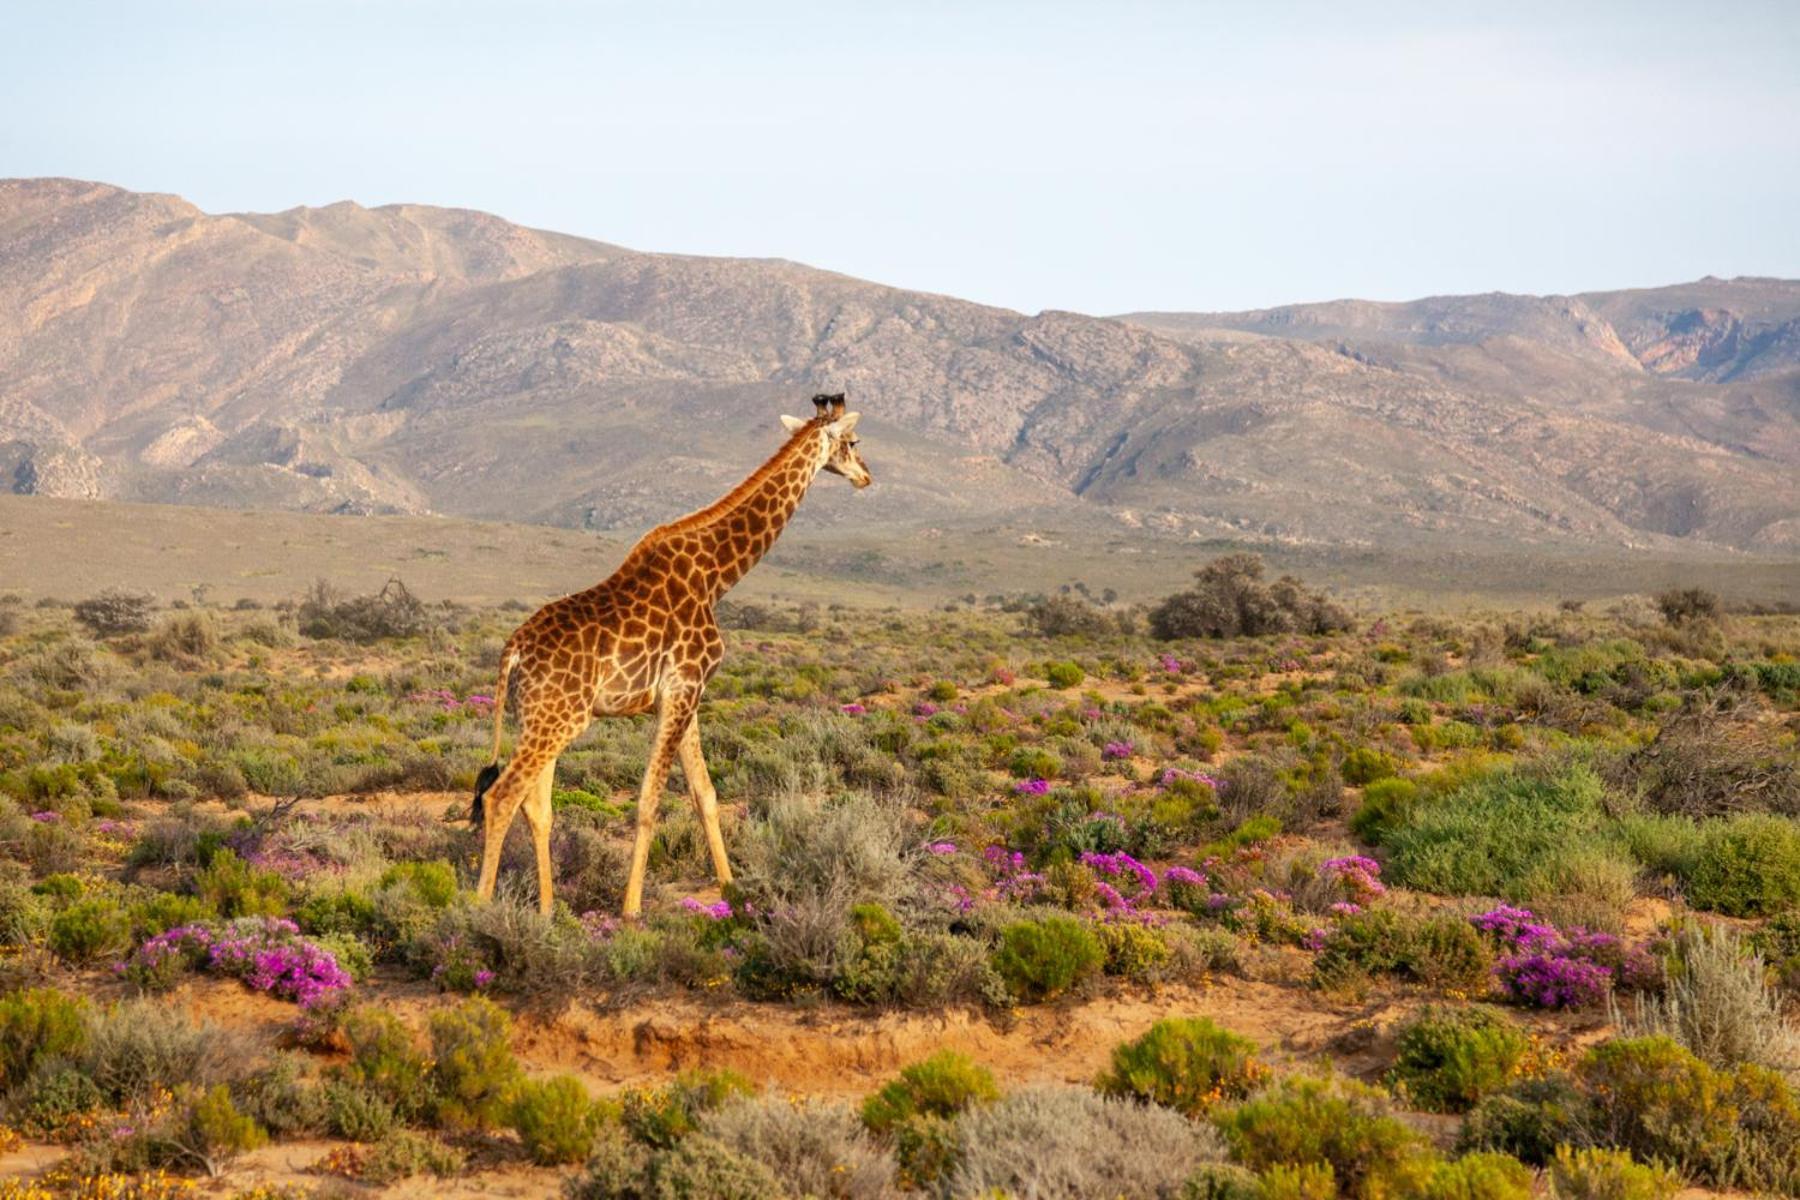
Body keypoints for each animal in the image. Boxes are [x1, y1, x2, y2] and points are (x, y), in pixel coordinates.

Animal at [471, 390, 871, 913]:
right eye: (853, 441)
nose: (866, 476)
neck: (718, 575)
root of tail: (513, 651)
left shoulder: (688, 695)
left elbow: (705, 793)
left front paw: (731, 890)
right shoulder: (683, 689)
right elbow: (649, 801)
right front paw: (631, 909)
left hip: (536, 718)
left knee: (535, 805)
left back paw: (547, 912)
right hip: (561, 719)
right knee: (501, 796)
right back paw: (478, 910)